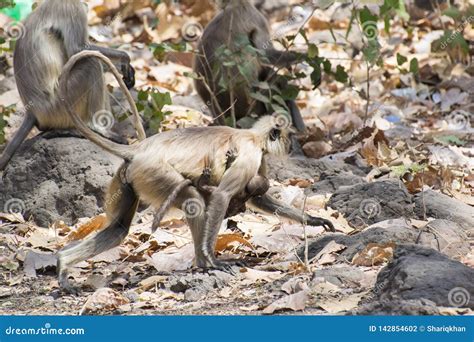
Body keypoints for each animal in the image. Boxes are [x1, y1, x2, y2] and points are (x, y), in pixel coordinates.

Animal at [0, 0, 145, 171]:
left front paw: (125, 67)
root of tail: (33, 110)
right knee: (91, 63)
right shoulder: (73, 7)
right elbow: (78, 49)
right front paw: (125, 58)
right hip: (60, 103)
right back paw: (99, 130)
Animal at [56, 51, 334, 294]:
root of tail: (138, 149)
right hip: (153, 173)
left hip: (127, 179)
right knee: (193, 199)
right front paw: (214, 258)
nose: (291, 145)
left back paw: (62, 264)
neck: (254, 137)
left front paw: (314, 220)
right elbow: (223, 195)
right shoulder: (251, 153)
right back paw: (205, 262)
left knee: (118, 229)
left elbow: (258, 197)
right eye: (287, 136)